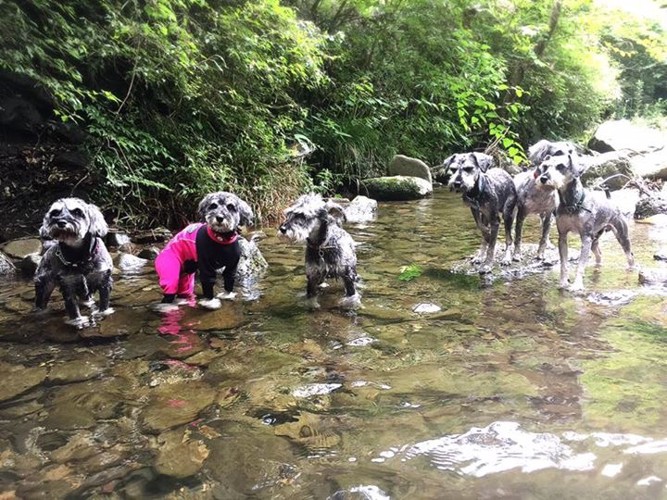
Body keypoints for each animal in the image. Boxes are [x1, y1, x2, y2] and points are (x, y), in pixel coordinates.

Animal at [34, 197, 114, 326]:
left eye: (77, 211)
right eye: (55, 212)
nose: (61, 222)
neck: (79, 257)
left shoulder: (103, 280)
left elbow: (104, 303)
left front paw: (103, 313)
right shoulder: (68, 285)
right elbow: (72, 308)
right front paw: (78, 321)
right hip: (43, 287)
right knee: (40, 303)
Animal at [536, 154, 636, 292]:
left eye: (560, 166)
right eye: (545, 166)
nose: (544, 178)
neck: (572, 204)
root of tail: (611, 201)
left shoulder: (585, 238)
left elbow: (580, 264)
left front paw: (577, 285)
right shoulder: (563, 236)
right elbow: (564, 263)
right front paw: (563, 283)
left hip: (622, 237)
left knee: (630, 256)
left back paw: (631, 269)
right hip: (594, 240)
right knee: (599, 255)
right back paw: (597, 266)